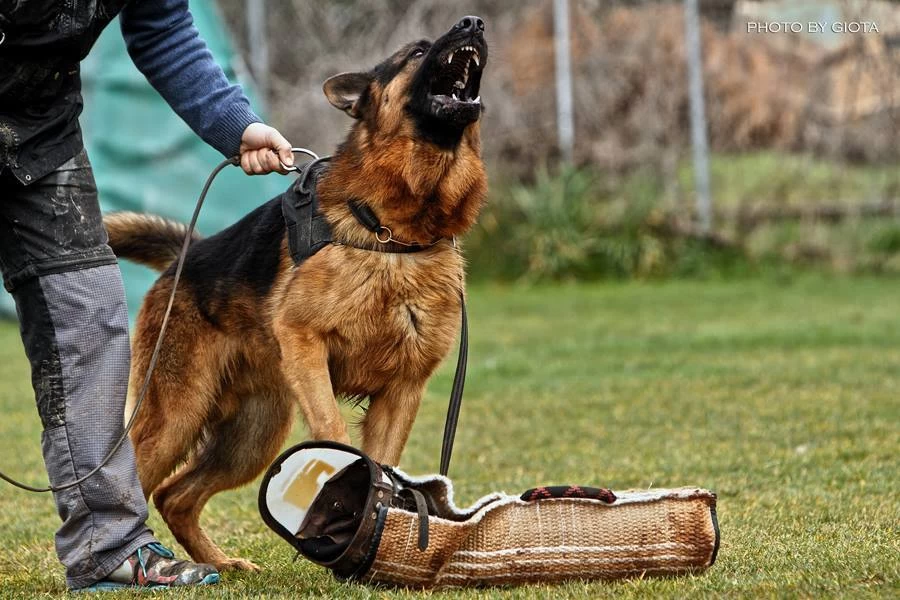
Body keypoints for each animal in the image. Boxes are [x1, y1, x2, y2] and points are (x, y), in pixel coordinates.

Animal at [106, 16, 492, 568]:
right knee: (132, 486)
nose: (474, 24)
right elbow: (335, 433)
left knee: (174, 496)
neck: (394, 235)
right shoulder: (307, 346)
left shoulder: (402, 391)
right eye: (417, 52)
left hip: (253, 434)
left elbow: (384, 462)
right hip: (176, 415)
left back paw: (219, 564)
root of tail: (187, 255)